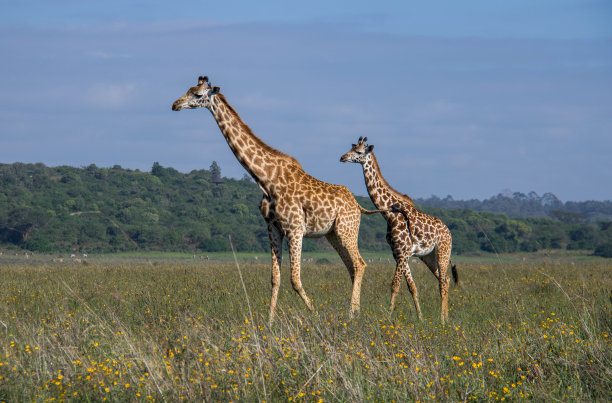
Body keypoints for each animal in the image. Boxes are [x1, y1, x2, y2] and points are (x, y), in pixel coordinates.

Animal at [172, 76, 382, 324]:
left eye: (197, 94)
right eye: (187, 90)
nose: (175, 104)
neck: (266, 179)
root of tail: (357, 205)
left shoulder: (295, 228)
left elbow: (295, 279)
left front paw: (316, 316)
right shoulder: (273, 227)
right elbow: (275, 278)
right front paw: (269, 322)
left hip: (347, 230)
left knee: (359, 264)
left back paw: (351, 314)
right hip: (333, 234)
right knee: (352, 267)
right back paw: (355, 312)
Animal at [340, 137, 460, 324]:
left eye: (359, 152)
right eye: (351, 148)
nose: (343, 157)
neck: (390, 214)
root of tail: (448, 232)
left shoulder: (403, 252)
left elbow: (395, 284)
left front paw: (388, 317)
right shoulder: (398, 252)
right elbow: (412, 286)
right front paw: (420, 318)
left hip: (443, 251)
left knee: (442, 282)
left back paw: (442, 319)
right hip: (428, 257)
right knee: (446, 279)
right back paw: (446, 317)